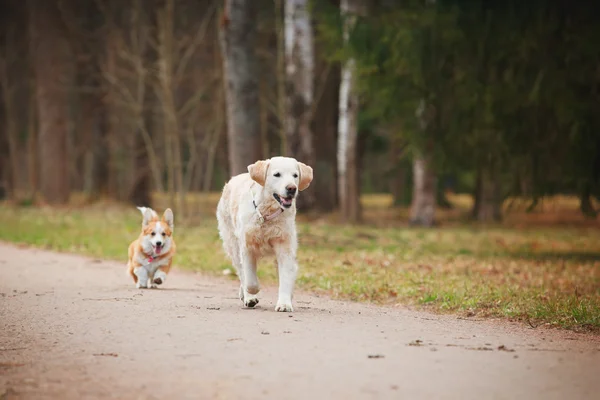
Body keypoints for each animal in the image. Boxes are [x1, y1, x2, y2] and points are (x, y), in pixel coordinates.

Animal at [218, 157, 314, 312]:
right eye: (277, 174)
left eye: (295, 175)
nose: (291, 188)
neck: (267, 214)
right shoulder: (247, 247)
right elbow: (250, 280)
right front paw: (251, 294)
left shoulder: (284, 246)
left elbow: (286, 276)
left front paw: (284, 303)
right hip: (232, 245)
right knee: (241, 272)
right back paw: (247, 297)